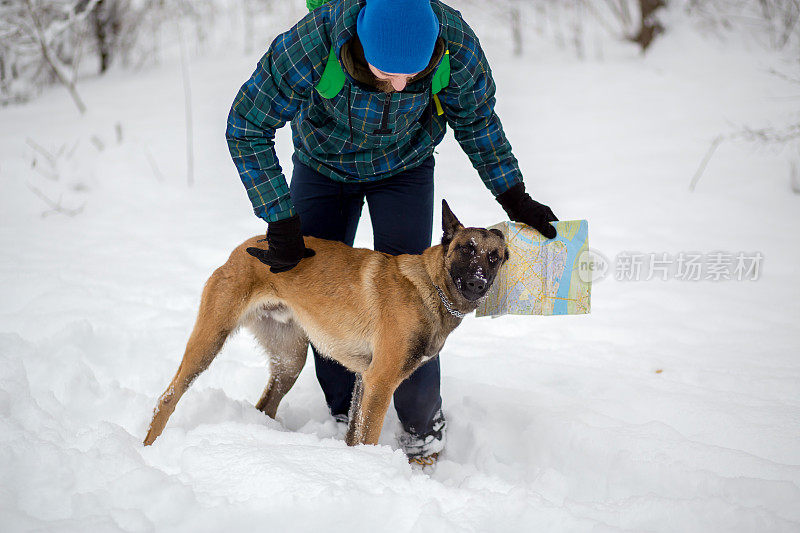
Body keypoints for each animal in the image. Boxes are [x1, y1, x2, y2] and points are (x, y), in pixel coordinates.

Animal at [143, 200, 506, 444]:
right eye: (465, 249)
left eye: (494, 257)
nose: (477, 283)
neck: (431, 285)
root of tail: (245, 247)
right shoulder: (380, 381)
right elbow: (367, 436)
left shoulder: (364, 380)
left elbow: (355, 435)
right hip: (208, 343)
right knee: (167, 398)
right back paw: (150, 447)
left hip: (289, 361)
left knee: (265, 406)